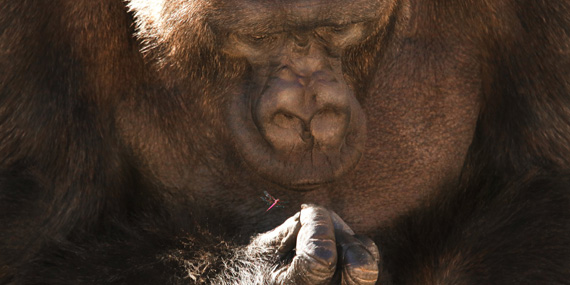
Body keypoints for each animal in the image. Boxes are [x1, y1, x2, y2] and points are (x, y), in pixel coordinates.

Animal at [1, 0, 568, 282]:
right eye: (259, 38)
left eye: (339, 30)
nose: (305, 103)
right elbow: (32, 231)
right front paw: (265, 267)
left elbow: (543, 185)